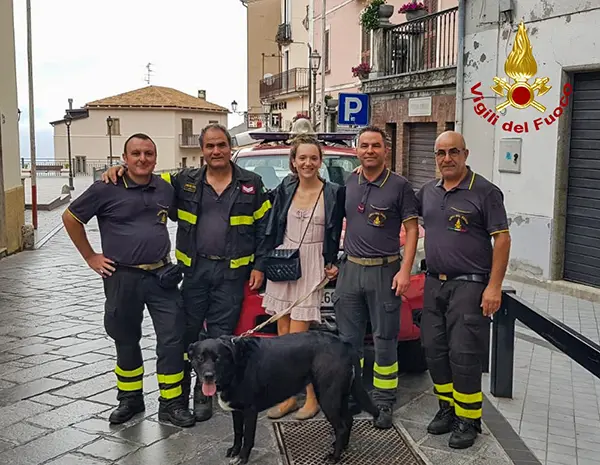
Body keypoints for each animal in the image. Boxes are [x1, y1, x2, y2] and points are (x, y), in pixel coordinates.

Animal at [188, 332, 380, 462]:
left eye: (217, 358)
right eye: (200, 358)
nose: (208, 376)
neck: (236, 366)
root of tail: (344, 344)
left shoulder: (250, 411)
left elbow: (248, 437)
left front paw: (242, 458)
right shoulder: (237, 411)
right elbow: (237, 432)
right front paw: (234, 450)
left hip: (327, 397)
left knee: (340, 426)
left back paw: (335, 457)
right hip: (340, 395)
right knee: (348, 420)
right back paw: (343, 447)